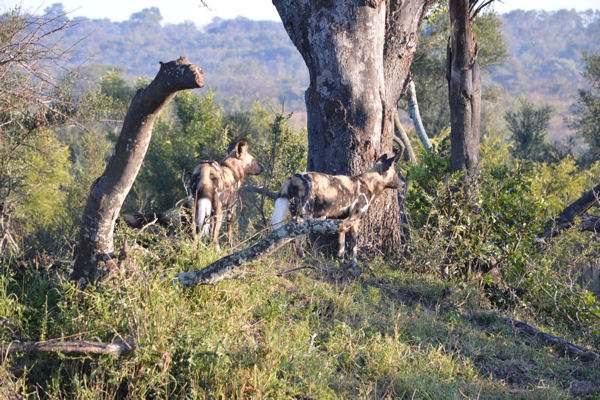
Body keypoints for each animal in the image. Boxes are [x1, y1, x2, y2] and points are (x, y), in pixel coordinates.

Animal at [272, 153, 404, 262]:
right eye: (396, 174)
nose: (402, 183)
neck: (369, 184)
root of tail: (294, 177)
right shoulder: (354, 220)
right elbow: (353, 246)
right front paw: (353, 262)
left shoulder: (342, 221)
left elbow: (341, 244)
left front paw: (340, 260)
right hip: (305, 216)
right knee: (297, 239)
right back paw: (303, 258)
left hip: (295, 215)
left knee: (292, 238)